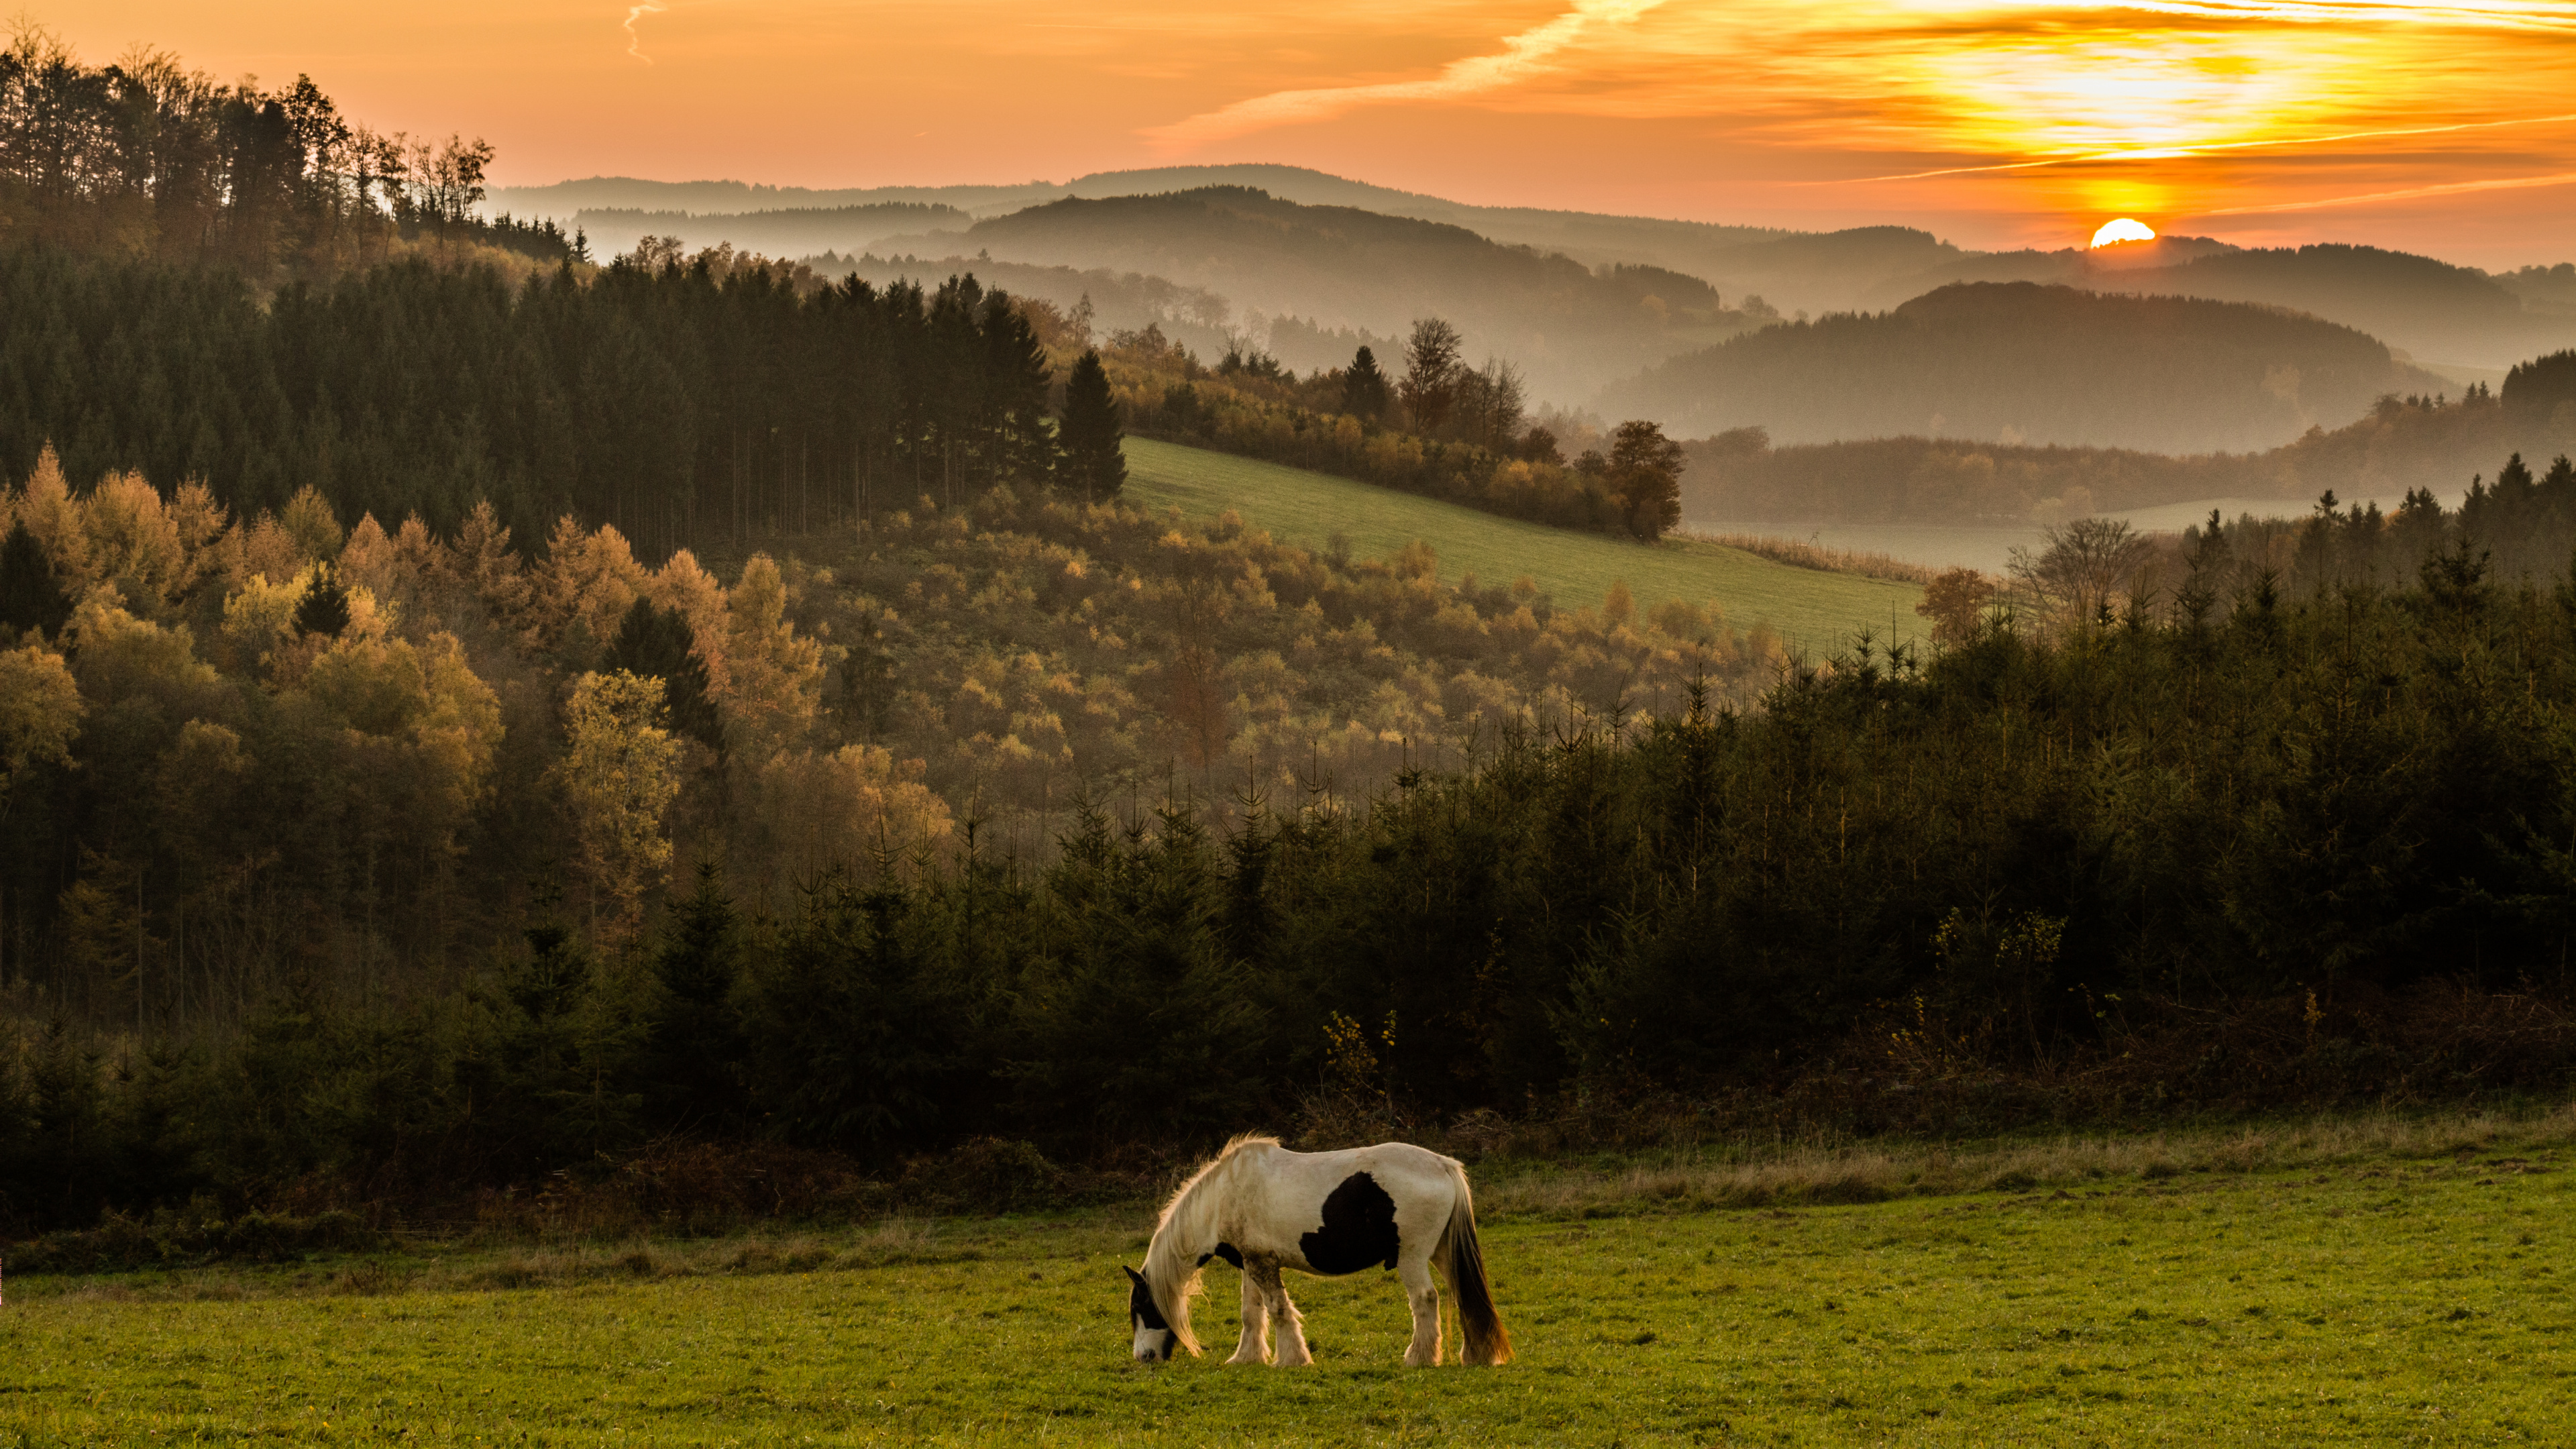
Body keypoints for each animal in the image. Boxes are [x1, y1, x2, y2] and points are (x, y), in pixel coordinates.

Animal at [1123, 1129, 1504, 1361]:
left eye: (1141, 1308)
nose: (1144, 1358)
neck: (1222, 1199)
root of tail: (1443, 1165)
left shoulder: (1263, 1264)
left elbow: (1278, 1309)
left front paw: (1292, 1360)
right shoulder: (1250, 1263)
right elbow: (1252, 1312)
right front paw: (1247, 1358)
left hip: (1412, 1257)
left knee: (1426, 1300)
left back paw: (1418, 1359)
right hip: (1442, 1253)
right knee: (1463, 1295)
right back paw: (1474, 1356)